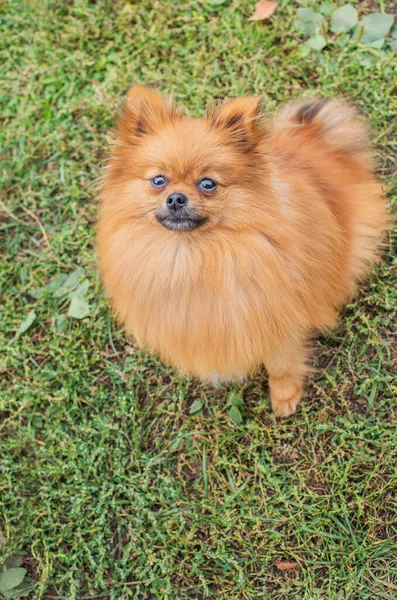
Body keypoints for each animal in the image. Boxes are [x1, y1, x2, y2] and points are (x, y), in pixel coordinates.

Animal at [96, 86, 386, 418]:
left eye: (208, 183)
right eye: (158, 180)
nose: (176, 198)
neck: (192, 256)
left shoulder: (273, 314)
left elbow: (281, 362)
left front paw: (285, 396)